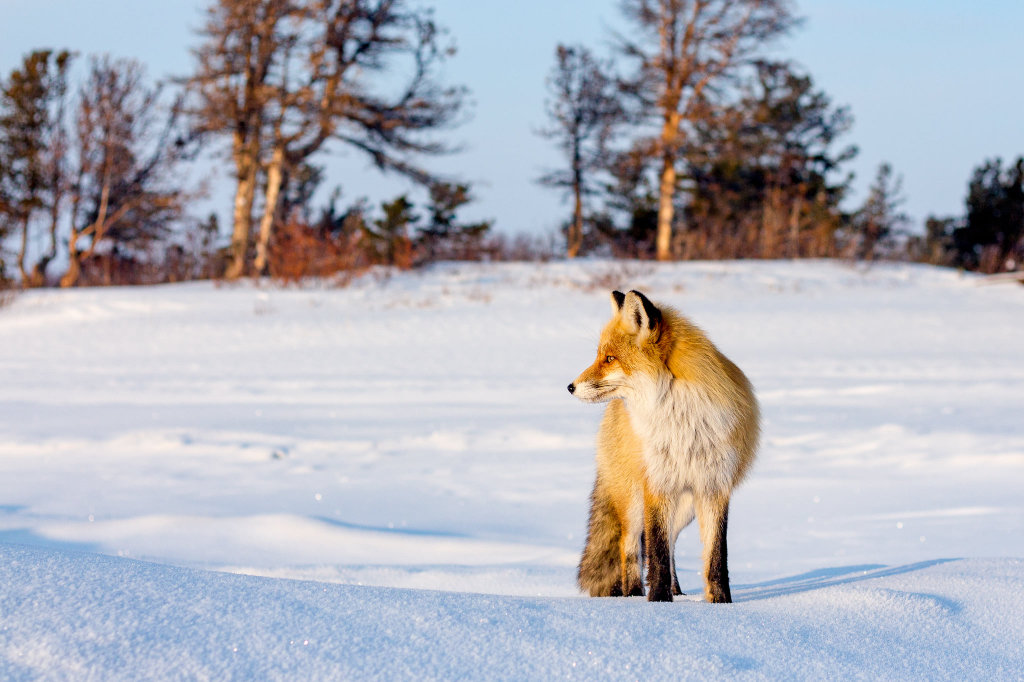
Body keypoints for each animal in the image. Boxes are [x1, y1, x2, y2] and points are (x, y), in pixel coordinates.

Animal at [569, 286, 761, 602]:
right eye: (600, 356)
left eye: (609, 358)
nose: (570, 386)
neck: (681, 421)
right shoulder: (656, 483)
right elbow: (655, 552)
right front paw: (659, 602)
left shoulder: (714, 486)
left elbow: (715, 558)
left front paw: (721, 604)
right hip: (634, 500)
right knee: (630, 545)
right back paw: (634, 594)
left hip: (685, 507)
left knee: (669, 545)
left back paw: (677, 592)